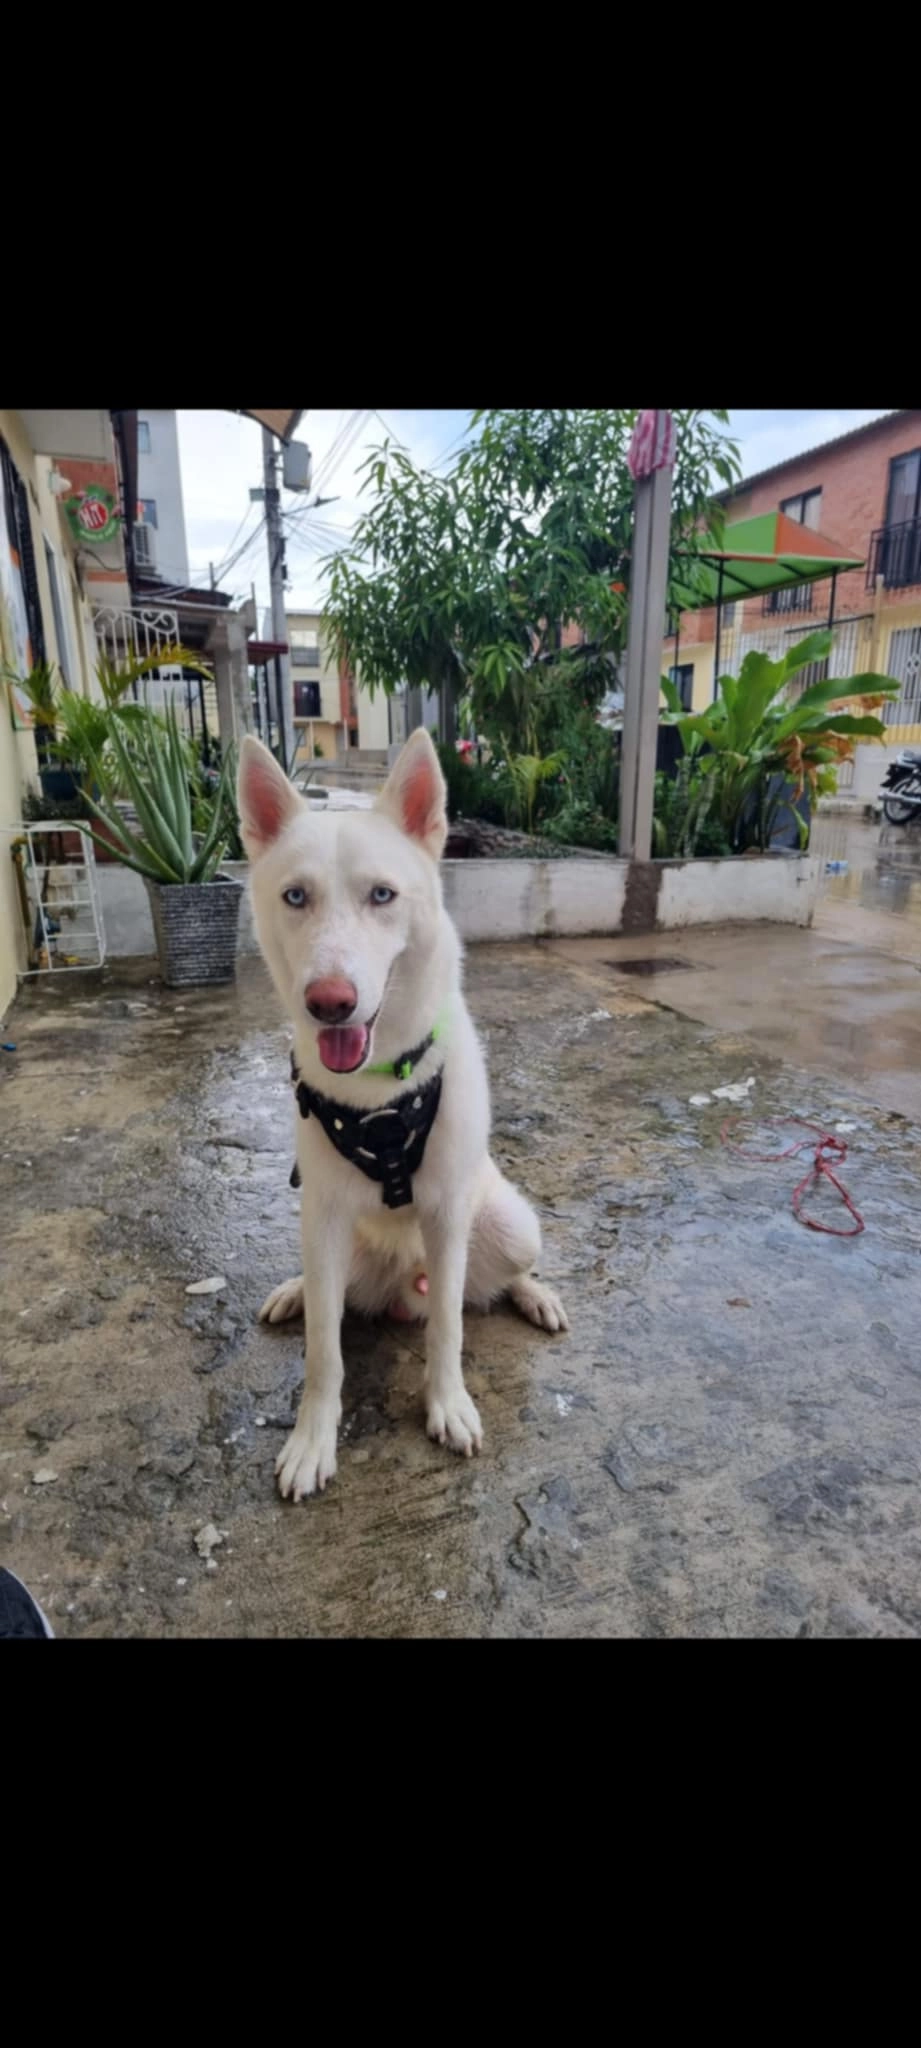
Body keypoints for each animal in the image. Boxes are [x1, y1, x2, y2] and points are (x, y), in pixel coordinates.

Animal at [238, 727, 568, 1502]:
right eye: (295, 896)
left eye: (382, 895)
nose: (329, 1002)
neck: (378, 1093)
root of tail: (396, 1294)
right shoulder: (324, 1214)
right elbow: (324, 1353)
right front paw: (312, 1438)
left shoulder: (446, 1212)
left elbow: (447, 1327)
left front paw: (447, 1404)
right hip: (329, 1247)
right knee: (327, 1296)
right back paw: (295, 1292)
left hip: (509, 1226)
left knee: (489, 1285)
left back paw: (534, 1296)